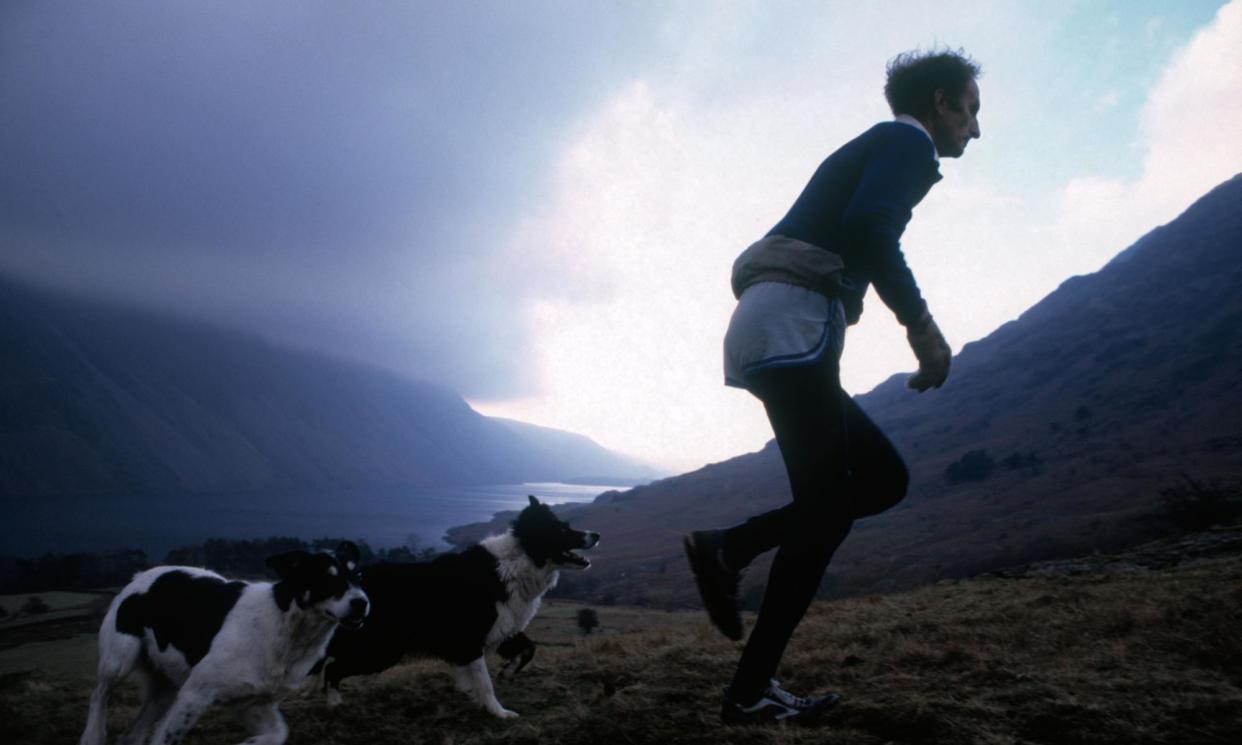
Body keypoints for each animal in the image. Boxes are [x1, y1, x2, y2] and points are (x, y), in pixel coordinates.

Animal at [77, 541, 365, 745]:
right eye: (326, 577)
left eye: (359, 574)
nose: (362, 603)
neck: (287, 628)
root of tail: (139, 576)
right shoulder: (195, 694)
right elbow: (165, 738)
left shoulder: (253, 704)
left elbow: (279, 733)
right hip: (120, 659)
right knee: (99, 693)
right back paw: (92, 736)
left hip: (166, 686)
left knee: (132, 734)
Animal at [322, 496, 598, 720]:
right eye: (562, 529)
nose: (596, 536)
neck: (517, 562)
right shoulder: (471, 638)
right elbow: (485, 682)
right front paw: (498, 711)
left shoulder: (502, 627)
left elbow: (529, 648)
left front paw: (504, 674)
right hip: (379, 650)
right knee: (332, 668)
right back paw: (333, 704)